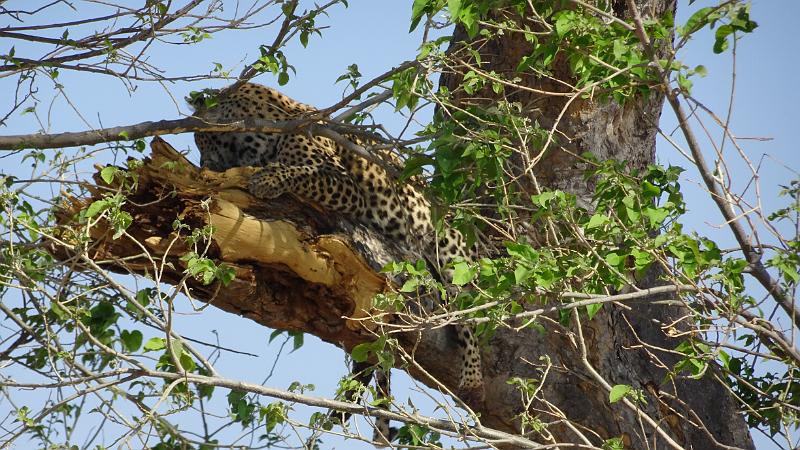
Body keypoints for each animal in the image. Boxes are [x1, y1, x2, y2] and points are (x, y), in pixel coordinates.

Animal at [191, 82, 484, 444]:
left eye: (200, 140)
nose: (203, 164)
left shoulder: (344, 183)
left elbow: (301, 173)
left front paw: (267, 179)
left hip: (448, 246)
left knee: (470, 312)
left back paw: (472, 378)